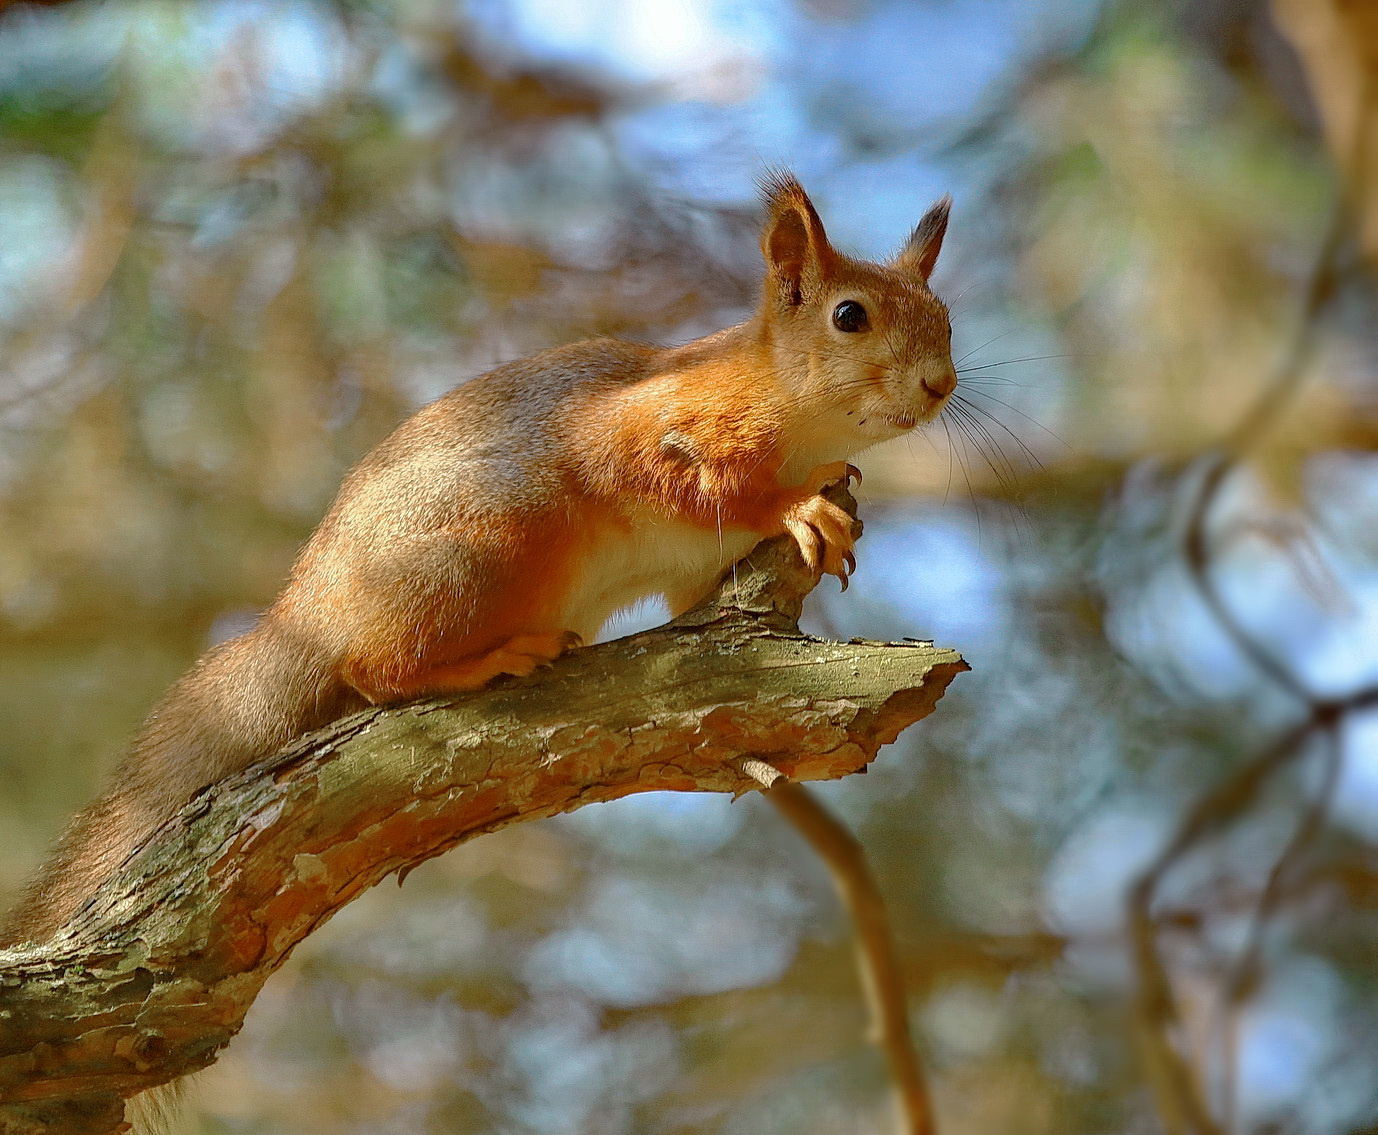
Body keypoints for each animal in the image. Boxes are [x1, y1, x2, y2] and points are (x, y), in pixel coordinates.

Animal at [2, 173, 956, 952]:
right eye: (849, 316)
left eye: (944, 317)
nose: (941, 385)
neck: (786, 402)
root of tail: (306, 616)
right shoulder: (650, 433)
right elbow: (697, 483)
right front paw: (799, 507)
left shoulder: (699, 569)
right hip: (491, 547)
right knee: (376, 669)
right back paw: (487, 660)